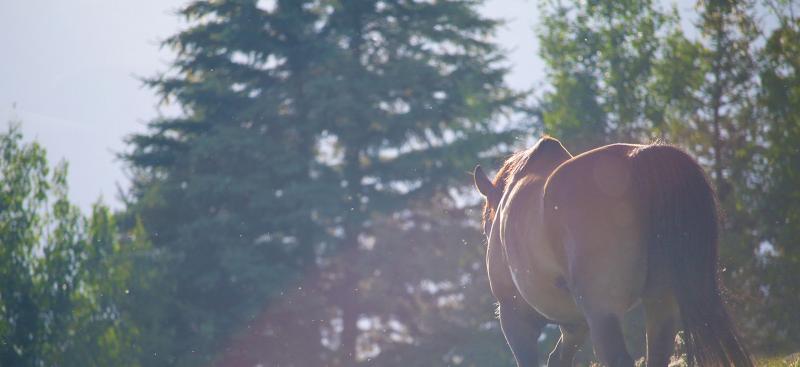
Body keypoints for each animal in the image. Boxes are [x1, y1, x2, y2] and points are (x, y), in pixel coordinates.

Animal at [472, 137, 752, 367]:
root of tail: (639, 159)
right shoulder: (576, 324)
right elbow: (558, 359)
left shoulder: (514, 315)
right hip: (661, 300)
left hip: (602, 310)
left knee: (618, 358)